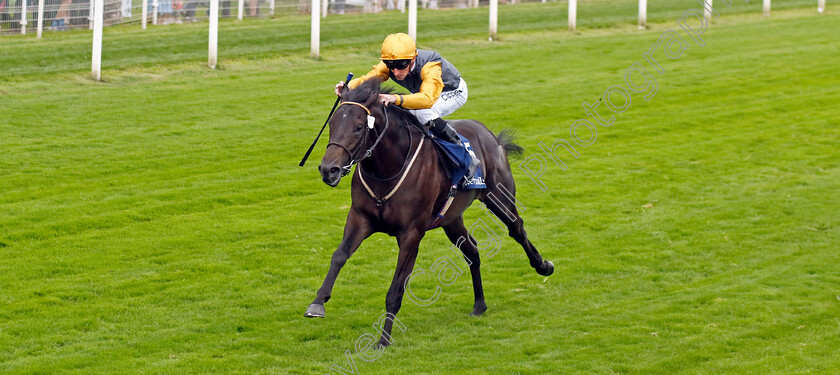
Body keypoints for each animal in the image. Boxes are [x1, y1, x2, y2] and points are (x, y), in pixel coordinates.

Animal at [306, 78, 556, 348]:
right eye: (332, 125)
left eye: (359, 127)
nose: (328, 169)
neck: (388, 170)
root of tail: (489, 134)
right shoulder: (360, 218)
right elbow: (339, 256)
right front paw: (317, 303)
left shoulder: (411, 235)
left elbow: (396, 289)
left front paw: (383, 339)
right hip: (452, 219)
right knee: (472, 251)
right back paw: (479, 305)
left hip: (499, 198)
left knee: (517, 228)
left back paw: (543, 266)